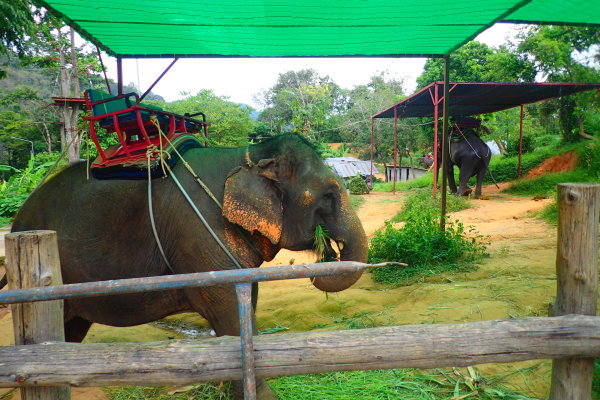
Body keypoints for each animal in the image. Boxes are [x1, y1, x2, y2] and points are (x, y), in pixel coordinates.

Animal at [7, 135, 368, 400]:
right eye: (329, 194)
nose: (329, 250)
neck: (248, 156)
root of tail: (17, 222)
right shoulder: (198, 233)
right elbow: (228, 310)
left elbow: (243, 305)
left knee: (70, 331)